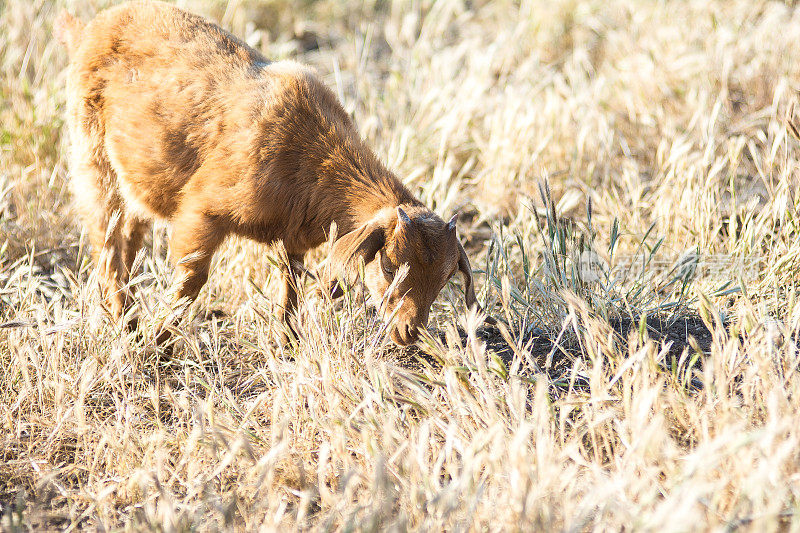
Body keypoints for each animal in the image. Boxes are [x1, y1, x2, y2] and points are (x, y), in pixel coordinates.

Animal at [54, 1, 488, 344]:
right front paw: (158, 340)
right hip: (93, 161)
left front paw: (288, 340)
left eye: (447, 278)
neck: (312, 156)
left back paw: (127, 317)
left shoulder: (294, 236)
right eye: (388, 265)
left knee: (129, 237)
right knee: (106, 241)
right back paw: (125, 323)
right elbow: (191, 280)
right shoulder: (201, 212)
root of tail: (88, 28)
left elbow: (290, 286)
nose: (409, 332)